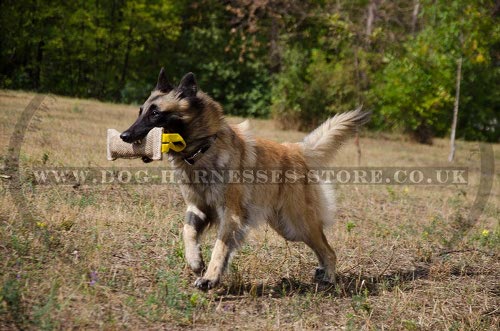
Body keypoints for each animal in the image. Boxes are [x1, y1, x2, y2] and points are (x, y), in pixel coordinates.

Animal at [121, 68, 372, 290]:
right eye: (140, 111)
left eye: (155, 113)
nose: (124, 136)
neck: (203, 148)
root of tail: (297, 150)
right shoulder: (198, 207)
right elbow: (187, 231)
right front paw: (195, 261)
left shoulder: (230, 214)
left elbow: (220, 248)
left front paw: (209, 278)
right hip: (288, 227)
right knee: (322, 248)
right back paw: (322, 272)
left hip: (298, 224)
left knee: (329, 250)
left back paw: (329, 278)